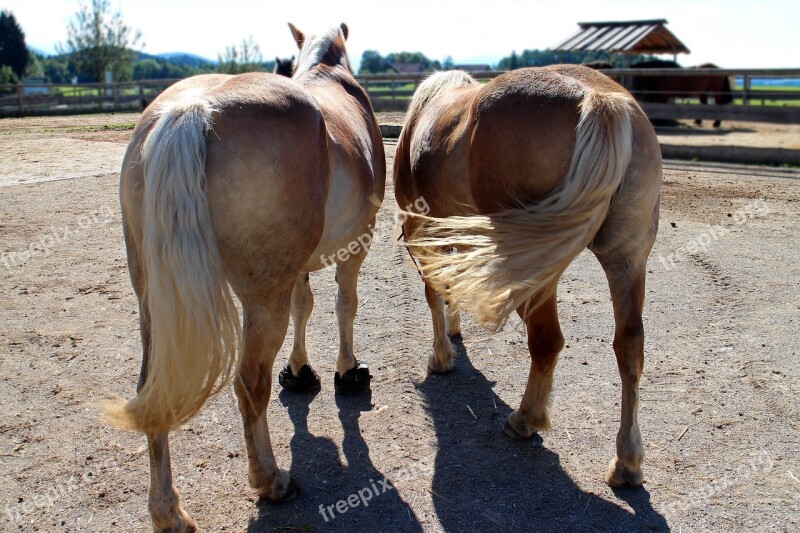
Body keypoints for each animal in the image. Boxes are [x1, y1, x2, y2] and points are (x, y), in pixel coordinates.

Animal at [108, 22, 384, 528]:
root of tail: (192, 110)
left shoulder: (297, 270)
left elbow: (304, 307)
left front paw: (300, 372)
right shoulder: (357, 246)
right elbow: (344, 306)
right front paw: (347, 372)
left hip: (151, 302)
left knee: (153, 389)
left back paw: (169, 514)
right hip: (260, 298)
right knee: (250, 382)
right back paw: (271, 480)